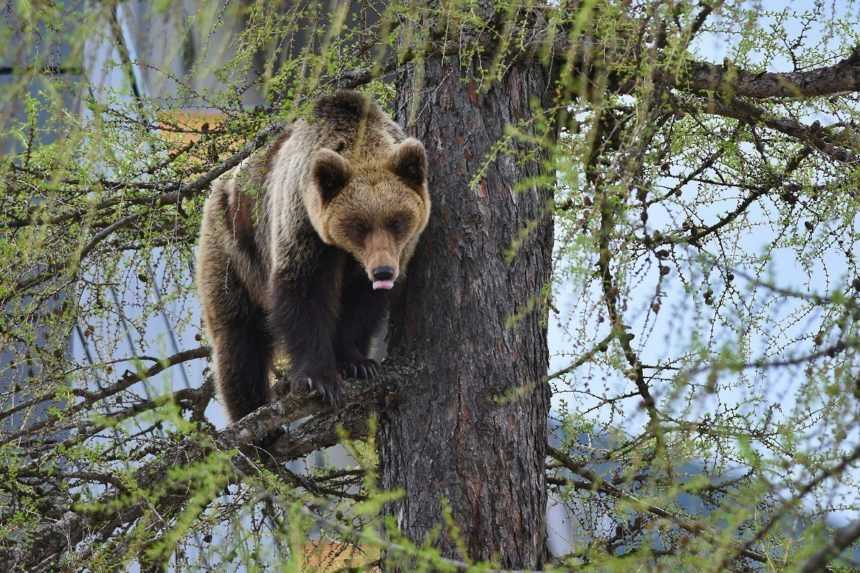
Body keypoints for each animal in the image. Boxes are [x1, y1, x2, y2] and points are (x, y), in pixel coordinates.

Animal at [199, 89, 434, 420]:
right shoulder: (302, 227)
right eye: (358, 225)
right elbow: (304, 295)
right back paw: (251, 413)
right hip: (233, 252)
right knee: (239, 340)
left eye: (398, 221)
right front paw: (320, 379)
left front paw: (357, 362)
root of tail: (219, 184)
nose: (383, 272)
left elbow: (360, 307)